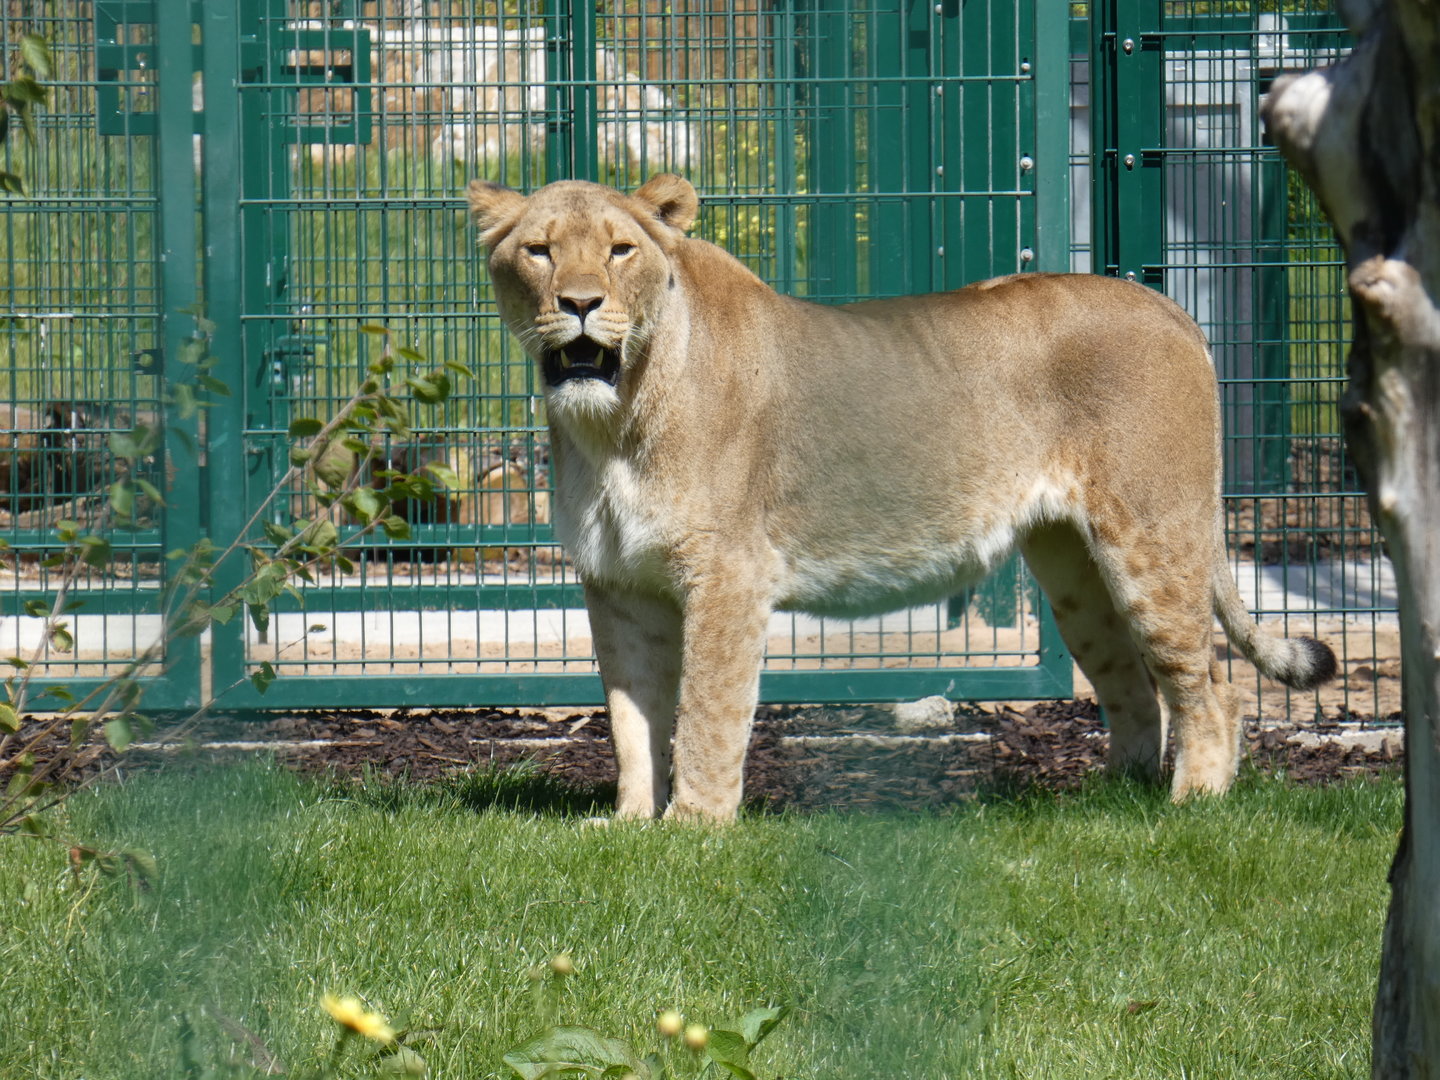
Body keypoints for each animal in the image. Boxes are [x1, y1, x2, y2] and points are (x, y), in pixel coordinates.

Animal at [467, 173, 1337, 821]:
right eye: (540, 251)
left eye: (620, 250)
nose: (580, 303)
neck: (610, 426)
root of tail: (1173, 310)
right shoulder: (617, 582)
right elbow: (631, 716)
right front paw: (629, 825)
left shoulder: (728, 574)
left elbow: (707, 710)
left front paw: (695, 830)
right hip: (1074, 569)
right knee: (1129, 680)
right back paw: (1113, 798)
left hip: (1154, 538)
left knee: (1214, 688)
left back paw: (1190, 808)